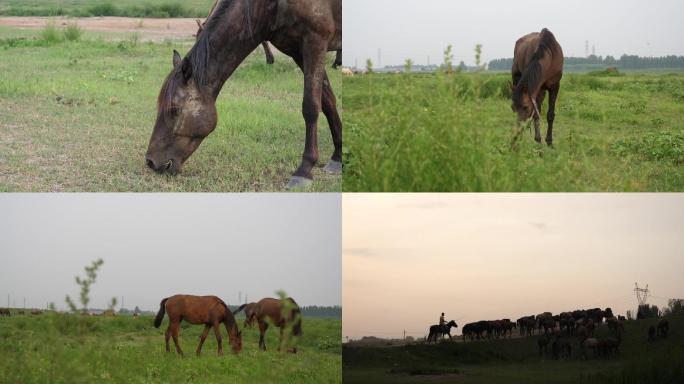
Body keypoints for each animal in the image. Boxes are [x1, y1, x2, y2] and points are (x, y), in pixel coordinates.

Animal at [148, 0, 344, 189]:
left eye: (174, 109)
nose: (150, 162)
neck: (273, 5)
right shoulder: (297, 51)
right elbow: (328, 102)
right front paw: (338, 156)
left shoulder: (315, 42)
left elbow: (310, 107)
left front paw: (305, 169)